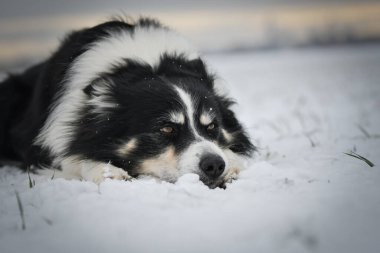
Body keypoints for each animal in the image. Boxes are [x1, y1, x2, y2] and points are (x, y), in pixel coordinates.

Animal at [0, 17, 255, 188]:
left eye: (212, 126)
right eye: (166, 129)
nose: (215, 166)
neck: (148, 65)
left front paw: (232, 164)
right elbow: (74, 158)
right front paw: (107, 171)